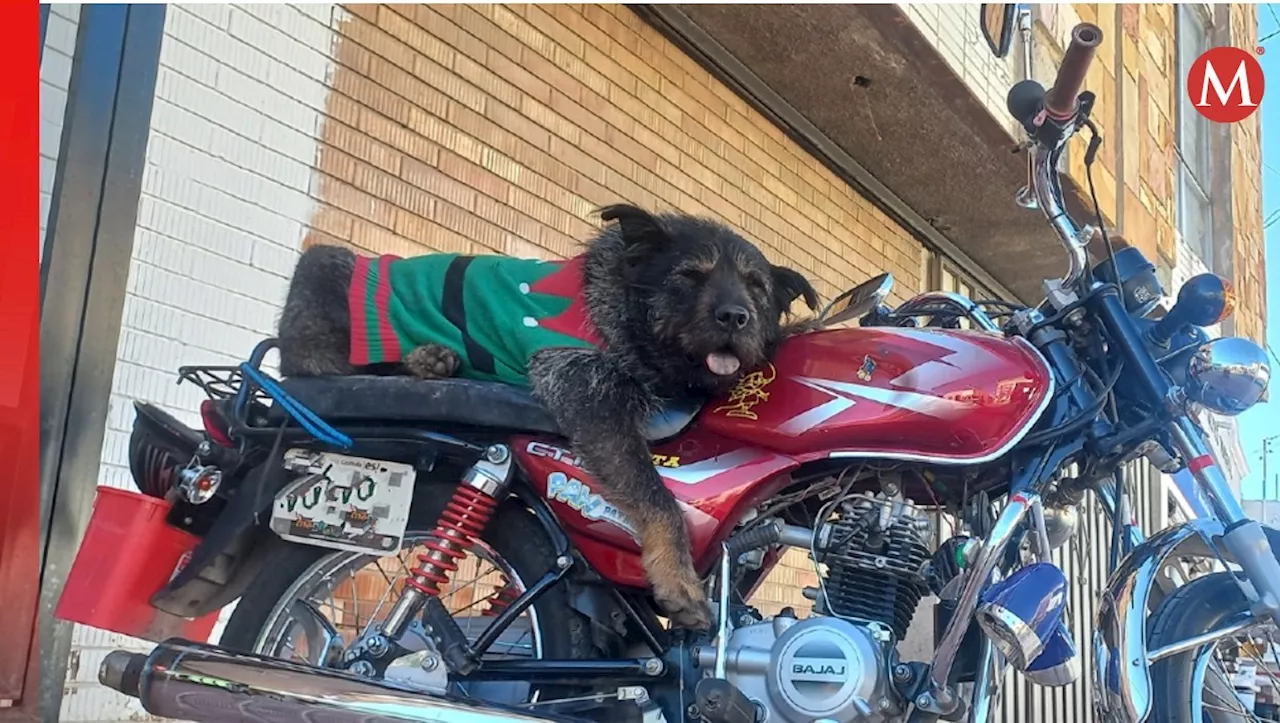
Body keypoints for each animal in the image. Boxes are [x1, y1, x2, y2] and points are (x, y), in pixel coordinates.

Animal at [280, 204, 819, 627]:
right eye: (690, 276)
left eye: (757, 287)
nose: (735, 316)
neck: (625, 312)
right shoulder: (586, 392)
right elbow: (658, 499)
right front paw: (678, 579)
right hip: (325, 273)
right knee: (310, 362)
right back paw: (421, 360)